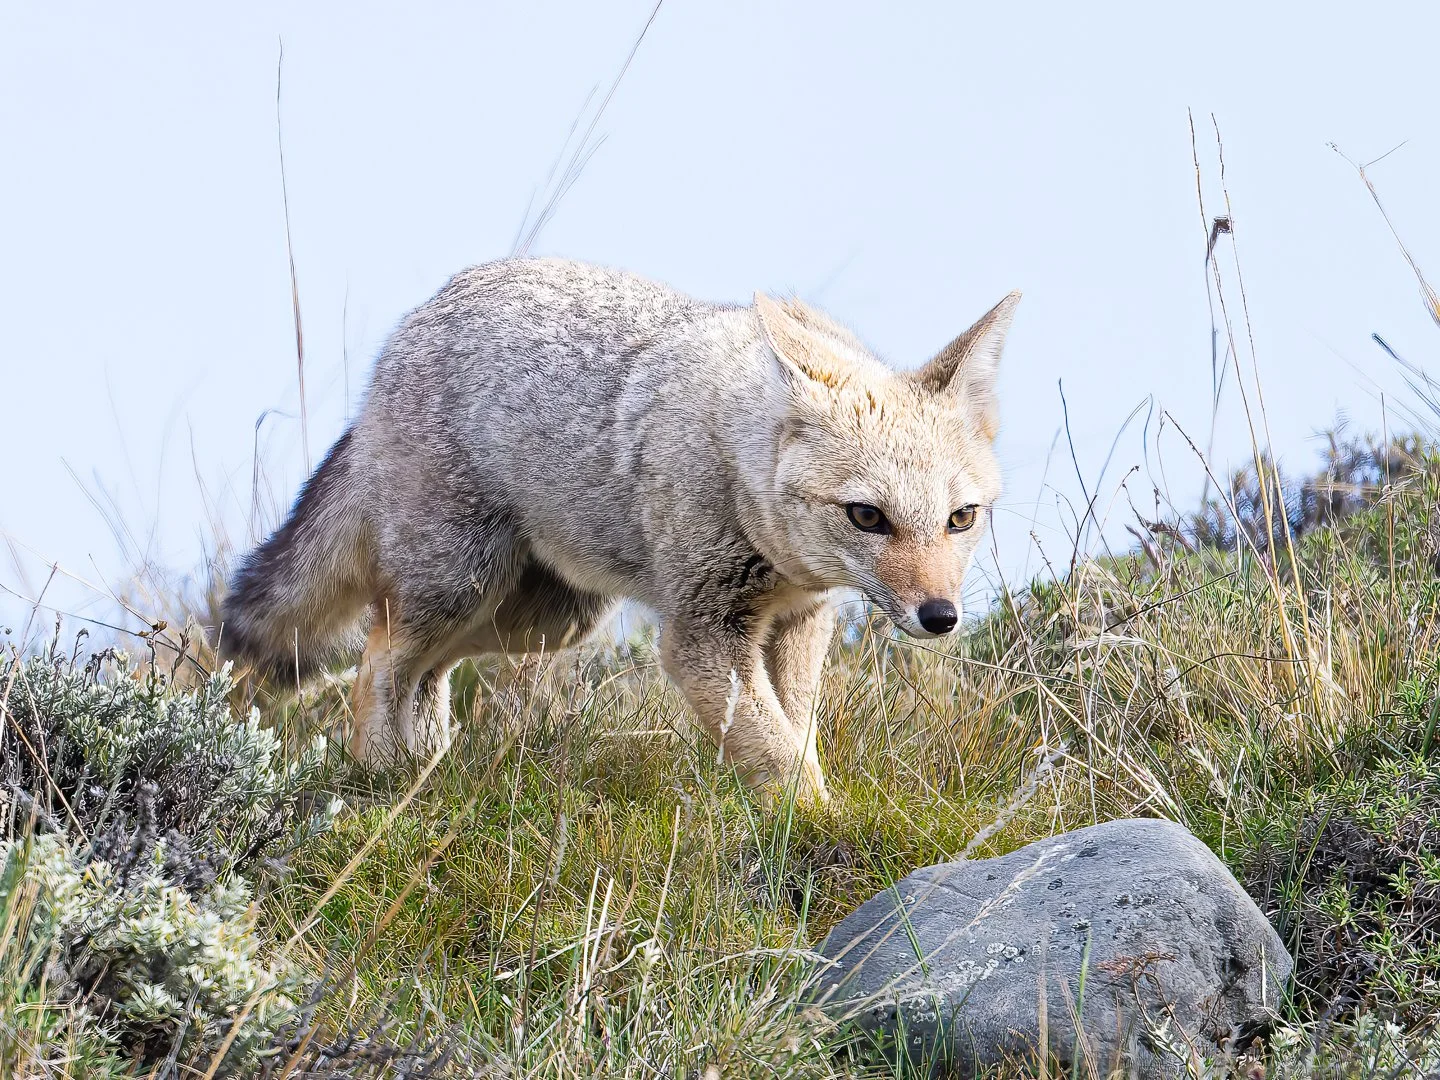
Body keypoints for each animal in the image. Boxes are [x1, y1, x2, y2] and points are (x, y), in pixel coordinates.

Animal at [221, 257, 1018, 801]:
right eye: (868, 516)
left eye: (960, 519)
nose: (940, 617)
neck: (737, 466)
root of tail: (426, 311)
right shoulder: (700, 638)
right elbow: (781, 756)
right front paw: (823, 825)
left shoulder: (797, 622)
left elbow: (796, 735)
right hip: (462, 588)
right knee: (377, 659)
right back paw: (384, 777)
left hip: (547, 620)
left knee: (425, 671)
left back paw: (427, 771)